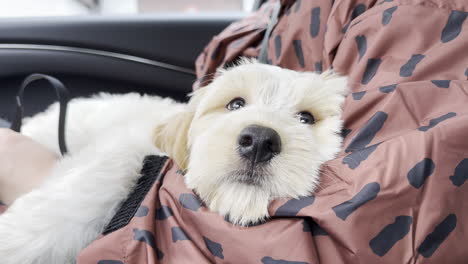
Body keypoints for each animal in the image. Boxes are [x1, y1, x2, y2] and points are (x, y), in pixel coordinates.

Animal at [0, 60, 346, 264]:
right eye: (235, 104)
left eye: (306, 118)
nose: (259, 141)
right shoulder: (123, 146)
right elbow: (88, 186)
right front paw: (13, 242)